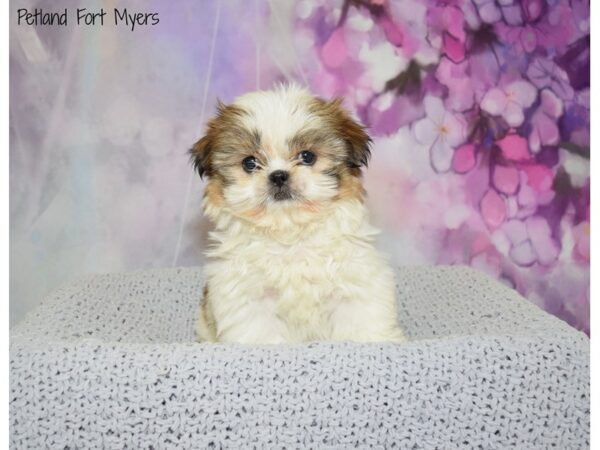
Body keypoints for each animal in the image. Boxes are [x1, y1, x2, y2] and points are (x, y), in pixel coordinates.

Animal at [191, 84, 408, 344]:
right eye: (249, 163)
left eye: (307, 156)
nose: (278, 175)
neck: (290, 235)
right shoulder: (247, 297)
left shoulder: (356, 282)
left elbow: (362, 321)